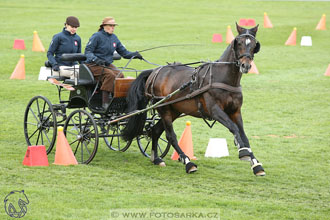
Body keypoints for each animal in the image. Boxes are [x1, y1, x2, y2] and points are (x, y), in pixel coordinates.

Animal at [124, 23, 266, 175]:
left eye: (254, 45)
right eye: (239, 43)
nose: (246, 65)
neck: (223, 78)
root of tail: (155, 71)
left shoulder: (235, 111)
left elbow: (244, 135)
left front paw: (255, 164)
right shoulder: (215, 111)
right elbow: (234, 128)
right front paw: (243, 152)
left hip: (174, 110)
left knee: (155, 131)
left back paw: (156, 159)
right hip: (164, 109)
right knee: (170, 136)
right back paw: (187, 162)